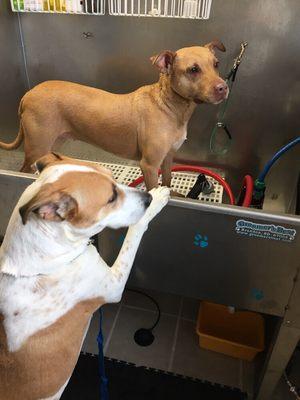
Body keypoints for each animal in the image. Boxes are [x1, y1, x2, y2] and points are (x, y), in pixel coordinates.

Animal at [0, 41, 227, 191]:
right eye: (193, 69)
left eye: (216, 64)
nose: (223, 88)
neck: (171, 105)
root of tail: (29, 93)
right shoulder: (149, 165)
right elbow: (154, 189)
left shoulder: (168, 157)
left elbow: (168, 181)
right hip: (36, 147)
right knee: (24, 170)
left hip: (52, 144)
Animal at [0, 152, 170, 400]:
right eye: (111, 198)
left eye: (114, 177)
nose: (147, 197)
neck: (41, 264)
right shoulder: (114, 283)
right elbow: (135, 231)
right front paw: (156, 201)